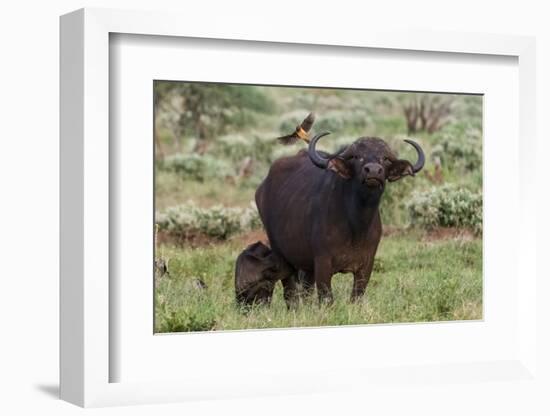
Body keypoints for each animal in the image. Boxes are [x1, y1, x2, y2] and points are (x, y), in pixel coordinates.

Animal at [256, 115, 426, 304]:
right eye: (357, 157)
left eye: (385, 159)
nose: (373, 171)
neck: (356, 225)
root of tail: (262, 189)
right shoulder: (322, 263)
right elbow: (326, 298)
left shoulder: (366, 266)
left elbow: (357, 296)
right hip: (281, 254)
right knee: (290, 292)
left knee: (305, 290)